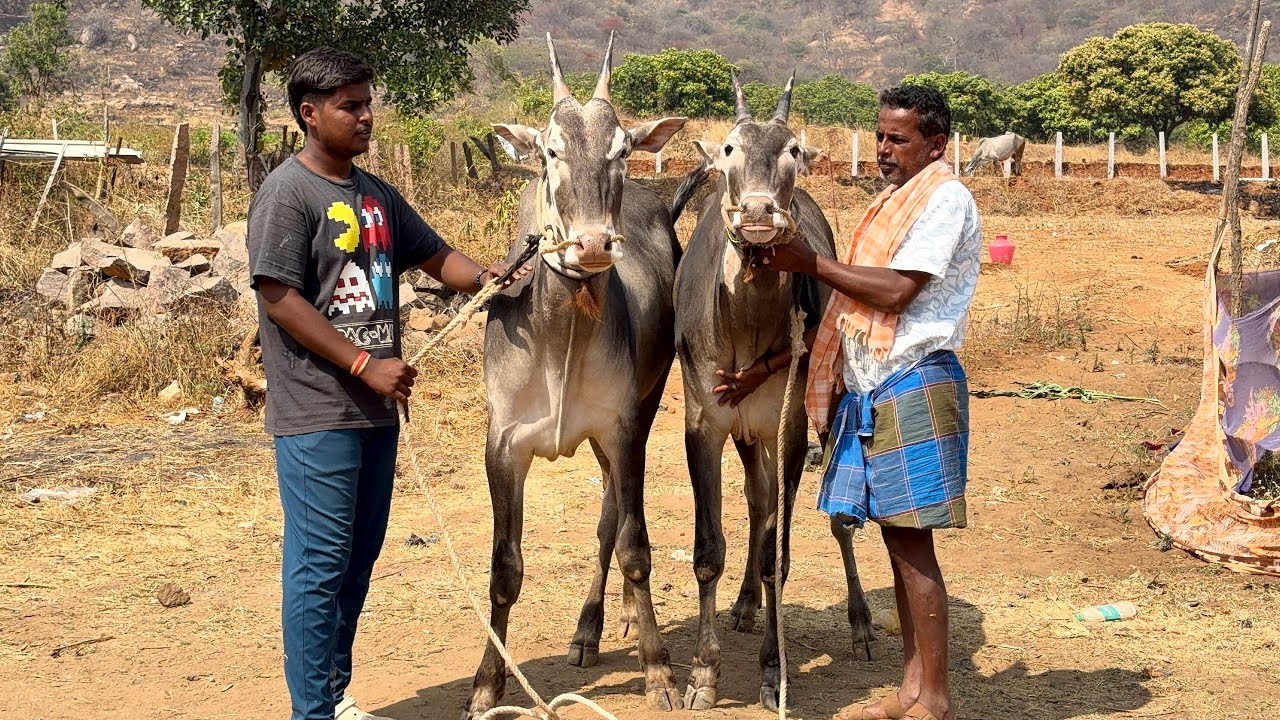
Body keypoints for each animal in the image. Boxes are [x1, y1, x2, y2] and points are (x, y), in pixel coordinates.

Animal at [466, 34, 689, 718]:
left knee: (613, 520)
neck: (558, 335)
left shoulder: (621, 427)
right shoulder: (503, 446)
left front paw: (658, 668)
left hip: (640, 412)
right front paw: (487, 683)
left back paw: (600, 623)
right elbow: (504, 568)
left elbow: (635, 545)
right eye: (551, 150)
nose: (591, 246)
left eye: (621, 149)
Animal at [670, 73, 875, 712]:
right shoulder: (706, 424)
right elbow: (708, 551)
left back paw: (861, 622)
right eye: (729, 148)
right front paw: (703, 674)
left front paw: (770, 670)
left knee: (834, 519)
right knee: (758, 502)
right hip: (744, 431)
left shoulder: (788, 430)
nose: (760, 213)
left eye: (792, 150)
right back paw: (741, 605)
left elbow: (775, 558)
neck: (745, 321)